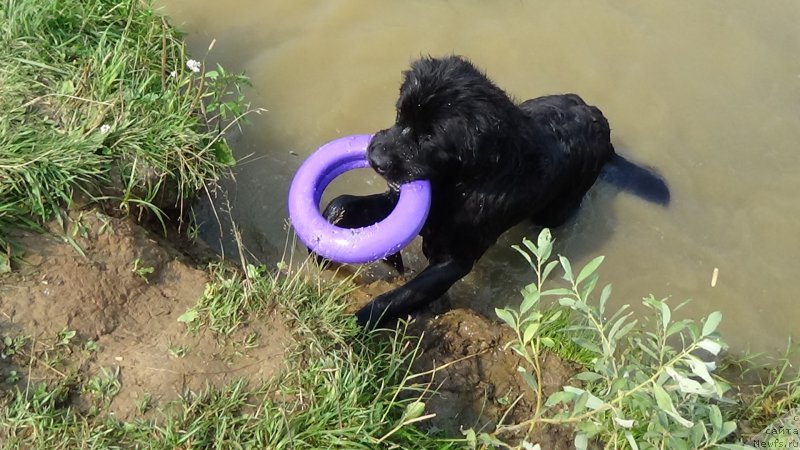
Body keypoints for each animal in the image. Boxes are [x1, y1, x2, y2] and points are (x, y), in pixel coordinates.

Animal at [320, 56, 668, 328]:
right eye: (401, 113)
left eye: (429, 137)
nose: (374, 157)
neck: (463, 183)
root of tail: (601, 123)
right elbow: (341, 204)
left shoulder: (455, 259)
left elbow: (400, 295)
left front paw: (355, 323)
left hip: (556, 210)